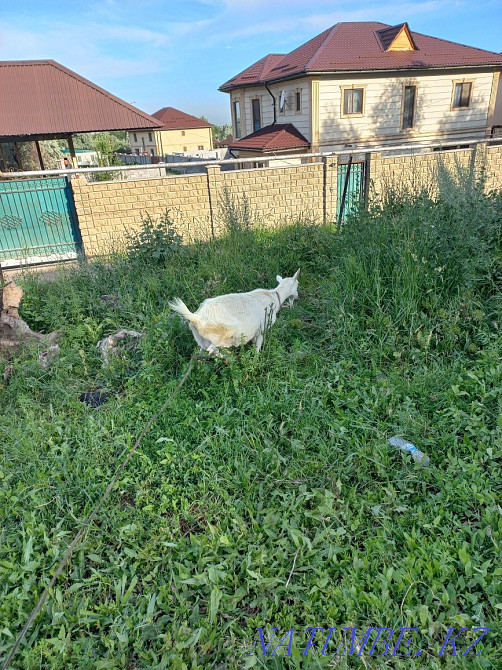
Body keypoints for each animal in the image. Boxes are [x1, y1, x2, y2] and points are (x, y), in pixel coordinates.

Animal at [169, 269, 300, 355]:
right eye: (297, 284)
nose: (298, 297)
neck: (274, 296)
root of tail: (197, 318)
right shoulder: (262, 328)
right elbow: (258, 346)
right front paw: (256, 360)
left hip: (200, 339)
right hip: (222, 333)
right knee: (211, 350)